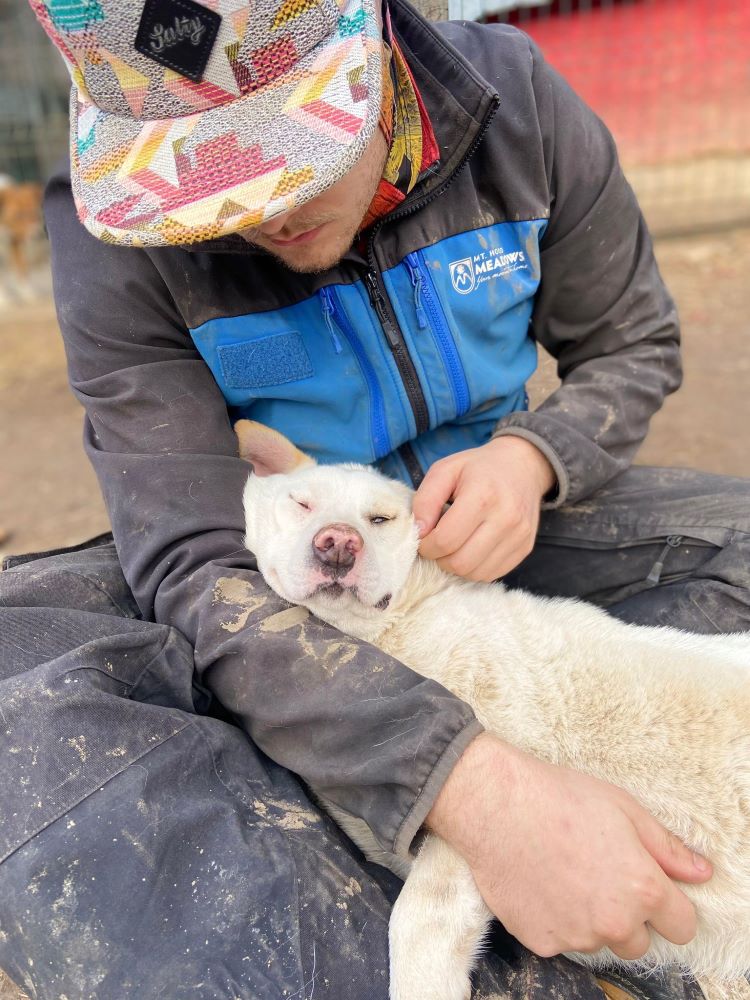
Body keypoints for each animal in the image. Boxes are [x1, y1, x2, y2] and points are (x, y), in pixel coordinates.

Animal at [236, 418, 750, 996]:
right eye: (301, 503)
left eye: (381, 519)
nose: (339, 542)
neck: (396, 631)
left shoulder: (480, 828)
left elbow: (414, 930)